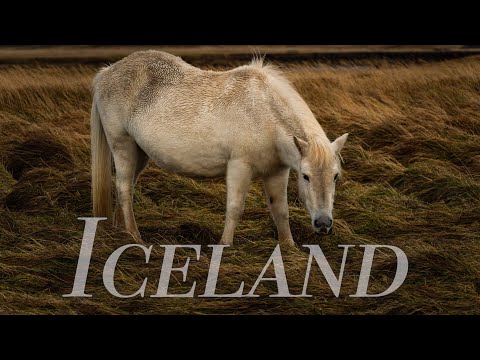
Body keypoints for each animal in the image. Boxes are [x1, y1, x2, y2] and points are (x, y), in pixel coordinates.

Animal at [90, 50, 346, 246]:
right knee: (124, 189)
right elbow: (235, 207)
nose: (323, 224)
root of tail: (107, 73)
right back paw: (135, 237)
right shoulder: (239, 166)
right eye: (305, 176)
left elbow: (280, 210)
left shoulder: (277, 171)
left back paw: (121, 230)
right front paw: (225, 245)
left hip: (140, 153)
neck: (264, 113)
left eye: (335, 177)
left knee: (127, 187)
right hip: (123, 145)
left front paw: (289, 246)